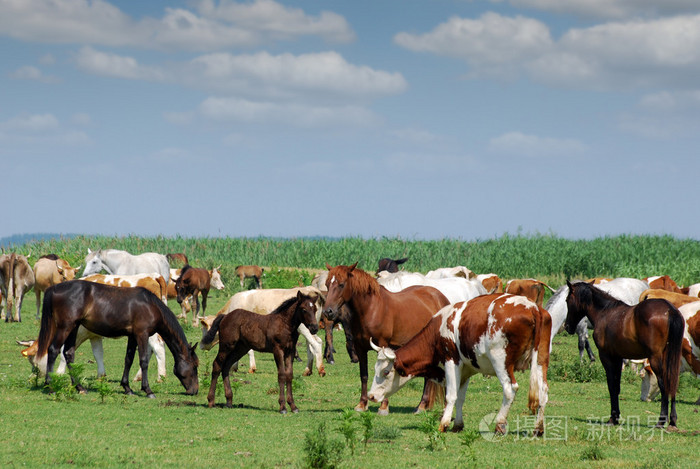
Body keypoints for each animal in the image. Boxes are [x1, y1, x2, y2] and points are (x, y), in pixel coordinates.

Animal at [37, 280, 198, 396]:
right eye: (195, 366)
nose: (195, 391)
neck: (150, 305)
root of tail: (54, 288)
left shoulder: (132, 336)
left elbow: (129, 359)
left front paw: (127, 388)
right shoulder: (142, 334)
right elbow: (143, 360)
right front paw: (147, 390)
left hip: (74, 327)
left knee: (69, 354)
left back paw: (80, 387)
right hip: (65, 327)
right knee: (53, 350)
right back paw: (50, 387)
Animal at [322, 264, 448, 414]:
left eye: (341, 284)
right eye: (327, 284)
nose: (328, 312)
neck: (371, 309)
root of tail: (440, 297)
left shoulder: (383, 346)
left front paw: (383, 406)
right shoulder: (360, 348)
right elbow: (363, 375)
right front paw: (362, 404)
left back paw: (422, 406)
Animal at [370, 294, 548, 434]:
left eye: (386, 372)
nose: (371, 396)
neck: (436, 331)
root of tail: (531, 306)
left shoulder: (451, 361)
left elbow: (451, 395)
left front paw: (444, 423)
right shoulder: (466, 370)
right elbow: (461, 397)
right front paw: (458, 425)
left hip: (500, 361)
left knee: (509, 389)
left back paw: (499, 424)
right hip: (541, 361)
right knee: (543, 391)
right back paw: (538, 428)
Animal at [564, 280, 684, 430]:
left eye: (567, 300)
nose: (567, 327)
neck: (605, 313)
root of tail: (669, 310)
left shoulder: (607, 357)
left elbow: (612, 386)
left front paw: (612, 418)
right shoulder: (618, 358)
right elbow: (617, 386)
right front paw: (616, 417)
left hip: (655, 359)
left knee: (664, 384)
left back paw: (661, 421)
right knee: (672, 381)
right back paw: (672, 421)